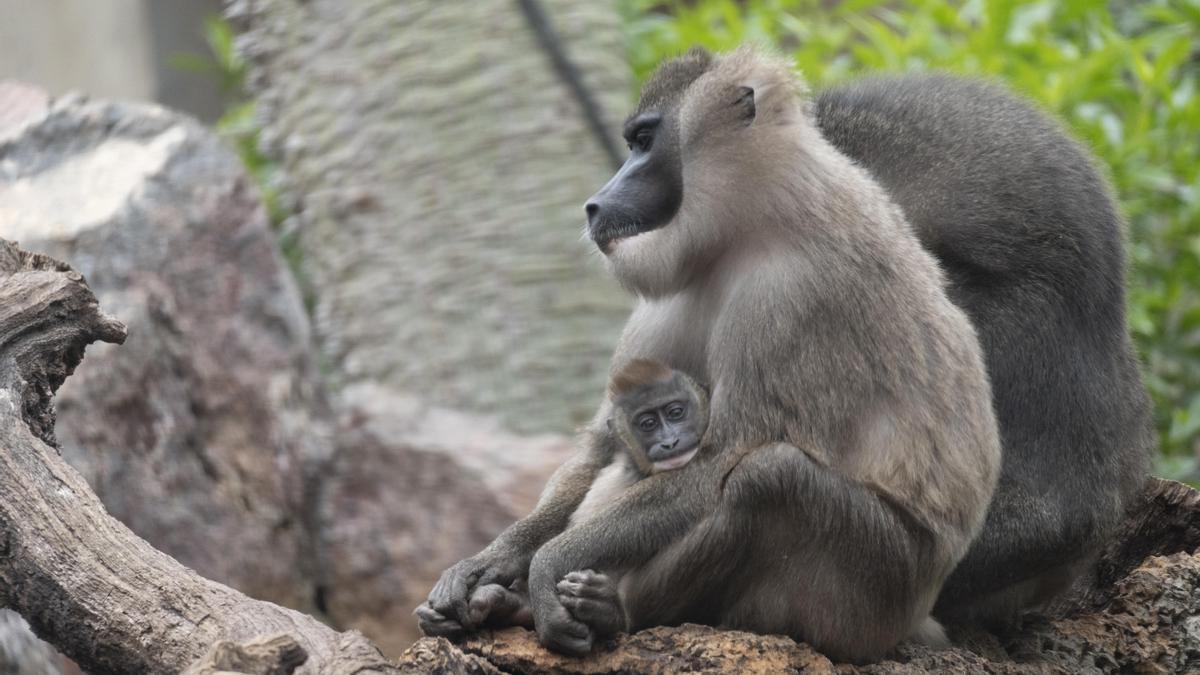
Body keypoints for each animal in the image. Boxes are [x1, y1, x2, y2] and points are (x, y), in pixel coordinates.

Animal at [422, 48, 1003, 662]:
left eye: (644, 140)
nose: (596, 204)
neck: (753, 213)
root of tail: (917, 617)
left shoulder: (789, 295)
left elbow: (717, 465)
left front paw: (546, 568)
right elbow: (606, 442)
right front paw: (487, 564)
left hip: (870, 597)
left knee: (767, 479)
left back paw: (613, 612)